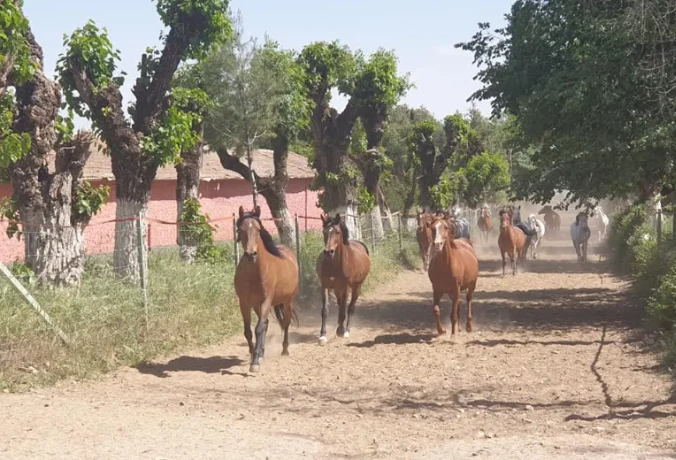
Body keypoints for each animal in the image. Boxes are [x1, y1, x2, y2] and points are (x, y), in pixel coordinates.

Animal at [235, 207, 298, 372]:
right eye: (241, 229)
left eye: (258, 229)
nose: (251, 254)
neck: (254, 273)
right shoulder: (244, 303)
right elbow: (248, 331)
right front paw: (254, 354)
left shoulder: (266, 301)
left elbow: (258, 329)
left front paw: (255, 362)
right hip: (257, 306)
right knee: (266, 324)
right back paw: (261, 352)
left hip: (288, 301)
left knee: (285, 323)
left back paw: (285, 349)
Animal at [316, 213, 370, 344]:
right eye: (324, 231)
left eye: (337, 232)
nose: (328, 252)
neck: (334, 264)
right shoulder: (324, 286)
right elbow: (325, 311)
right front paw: (322, 335)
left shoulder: (345, 287)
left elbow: (343, 310)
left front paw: (340, 331)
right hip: (337, 289)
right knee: (341, 305)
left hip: (357, 287)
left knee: (350, 308)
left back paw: (346, 330)